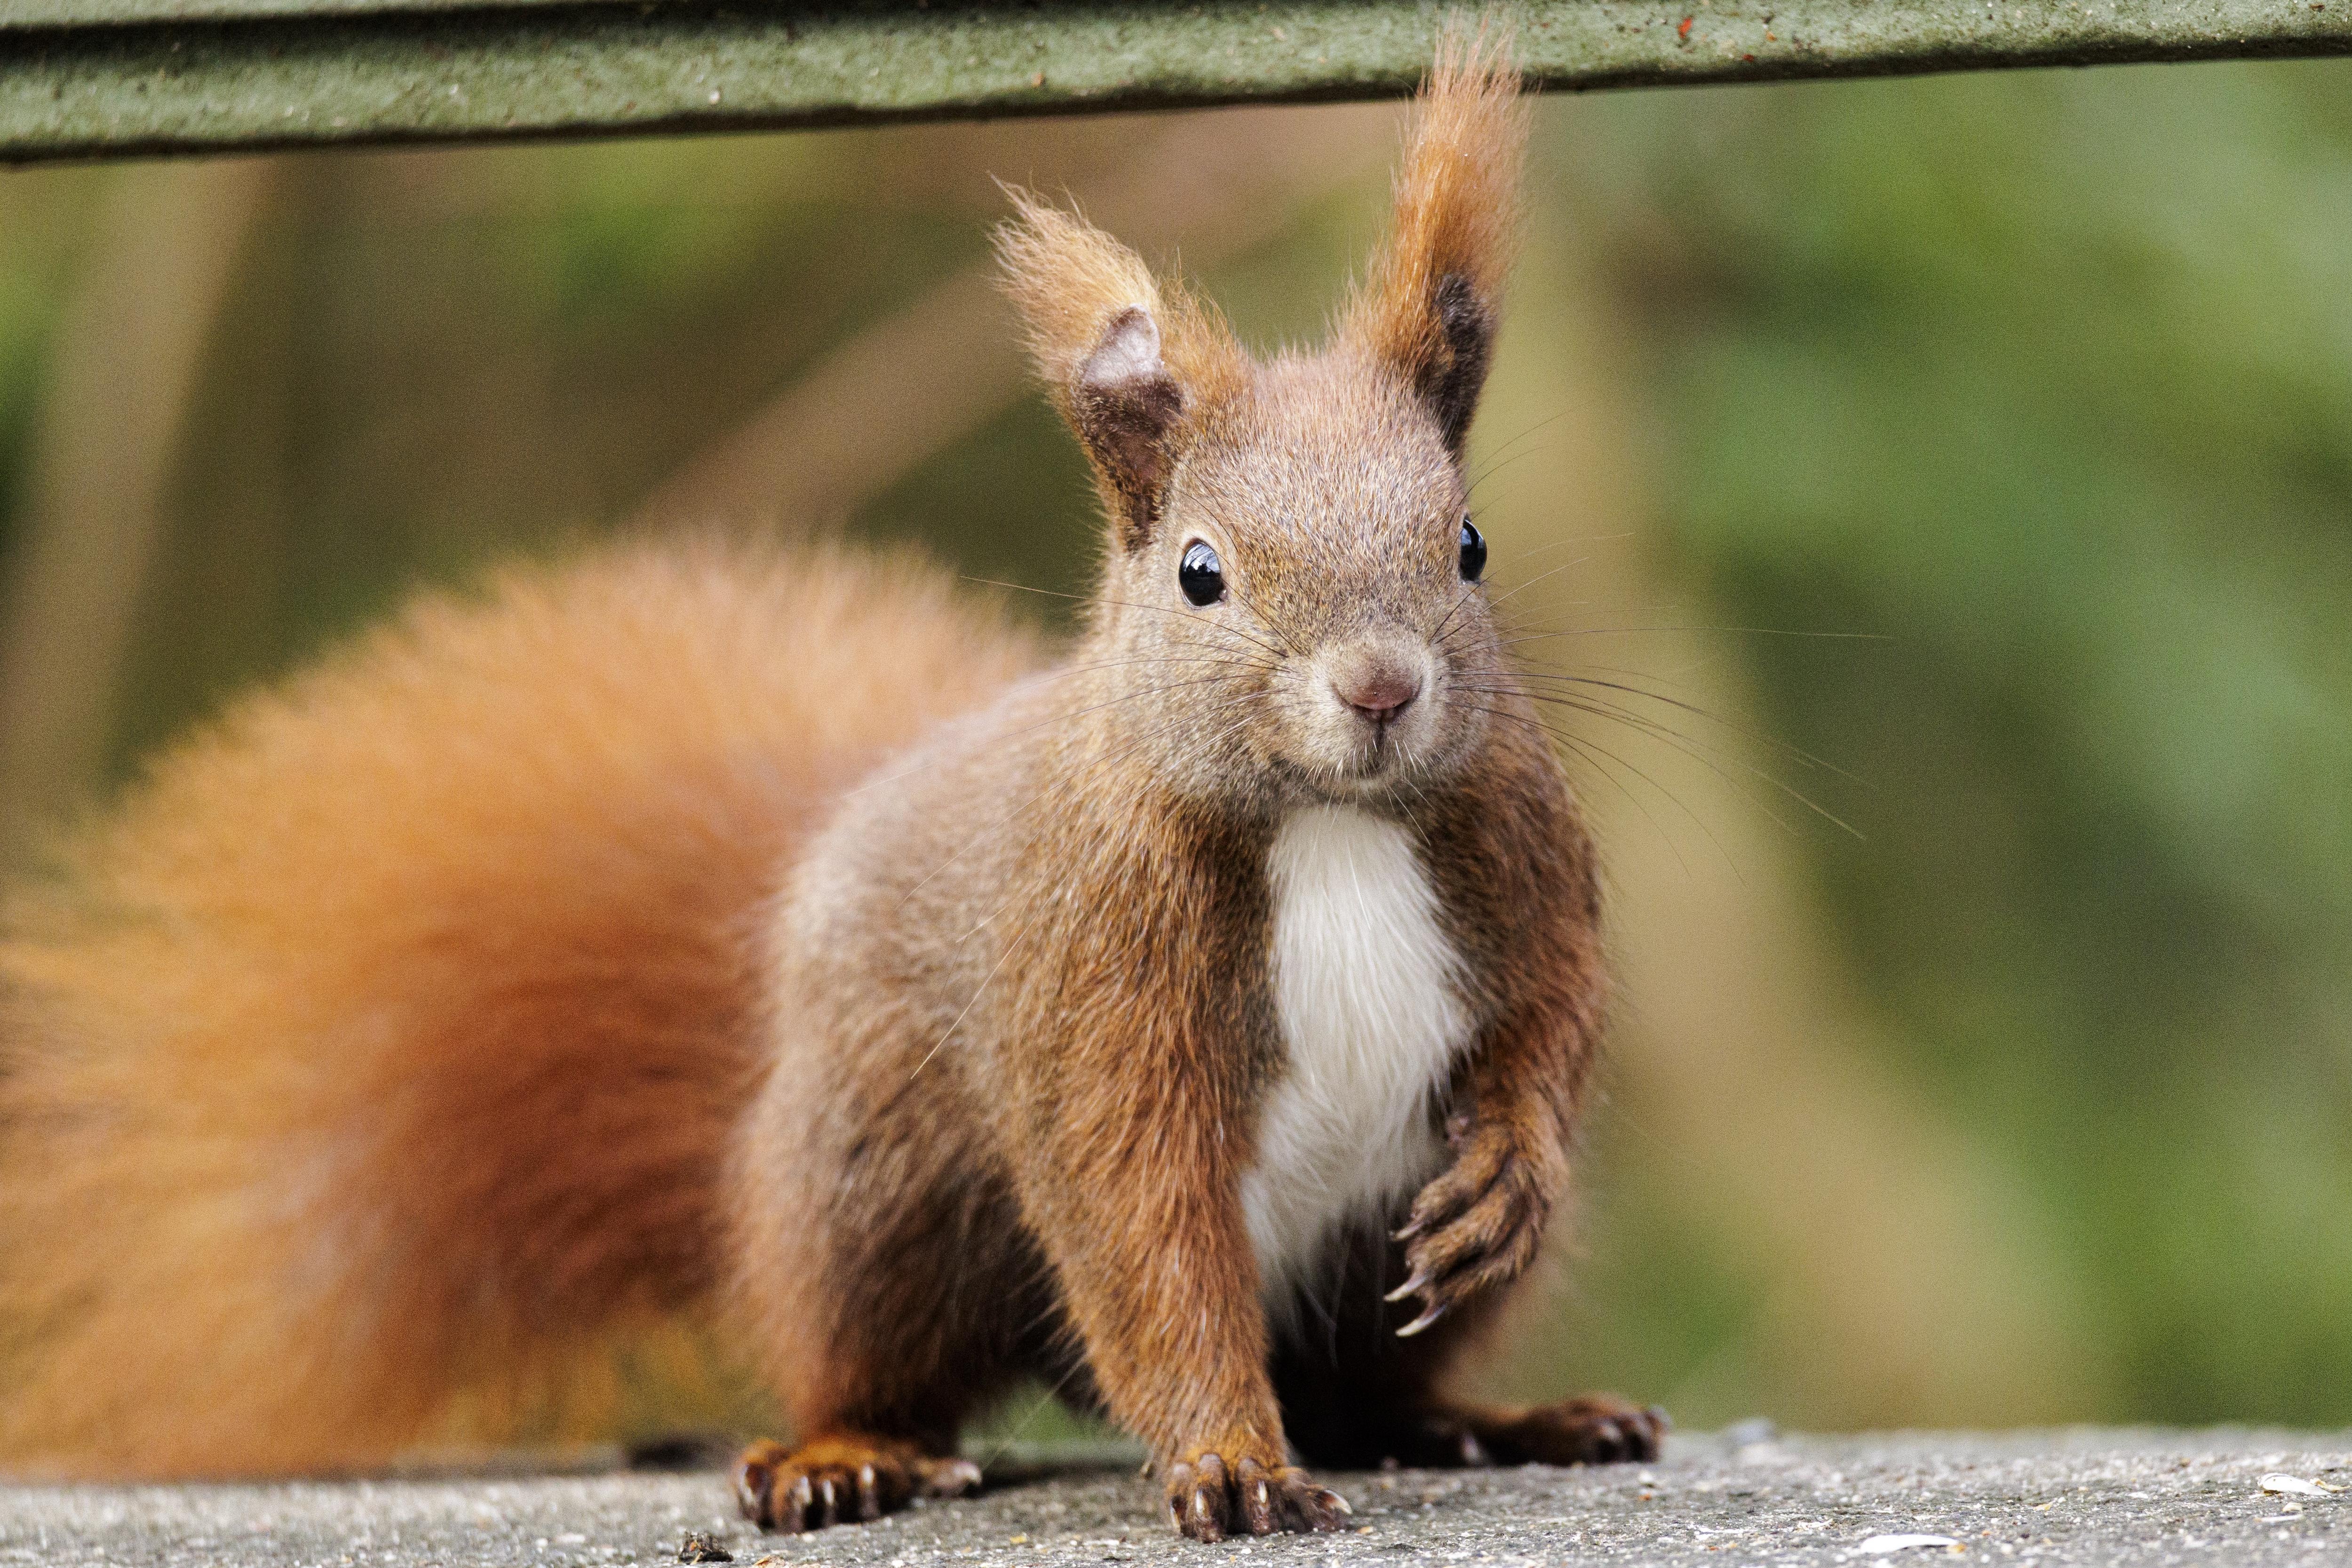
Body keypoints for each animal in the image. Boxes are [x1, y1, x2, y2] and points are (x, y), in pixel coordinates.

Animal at [0, 37, 1665, 1542]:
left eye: (1468, 544)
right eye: (1201, 573)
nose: (1381, 687)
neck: (1330, 826)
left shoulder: (1521, 855)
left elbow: (1552, 1021)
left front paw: (1512, 1162)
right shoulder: (1092, 977)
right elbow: (1141, 1227)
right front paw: (1224, 1460)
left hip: (1373, 1270)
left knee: (1369, 1389)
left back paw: (1500, 1417)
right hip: (876, 1192)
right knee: (871, 1351)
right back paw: (843, 1452)